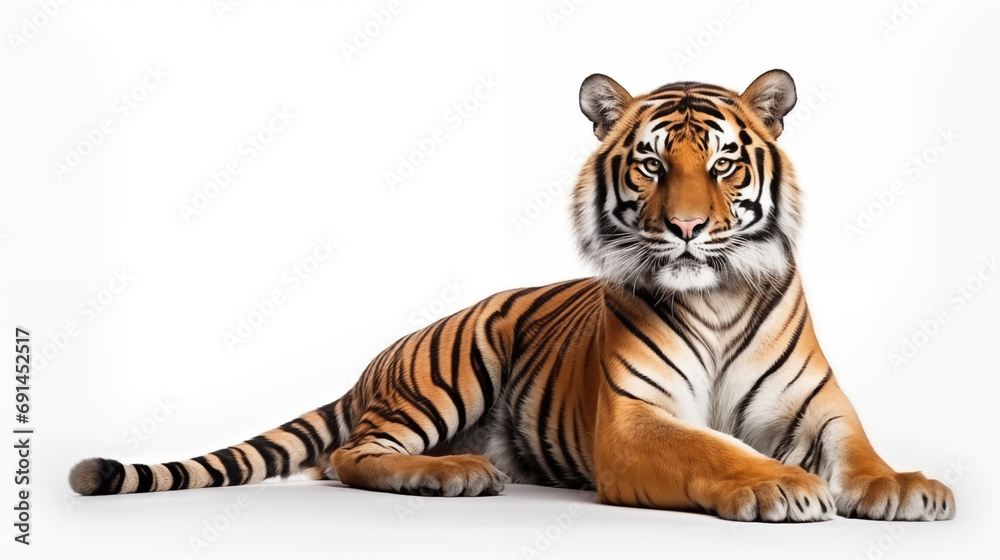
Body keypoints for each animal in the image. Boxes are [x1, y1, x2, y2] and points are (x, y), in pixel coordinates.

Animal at [69, 69, 955, 522]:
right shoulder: (633, 423)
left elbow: (858, 451)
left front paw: (909, 488)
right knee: (348, 456)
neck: (717, 297)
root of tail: (373, 364)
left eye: (724, 164)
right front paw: (774, 485)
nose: (687, 229)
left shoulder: (817, 408)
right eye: (651, 164)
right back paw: (450, 475)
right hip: (451, 371)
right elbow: (711, 447)